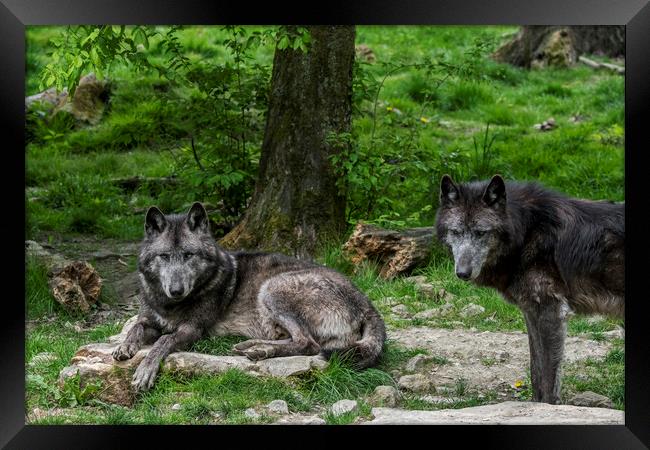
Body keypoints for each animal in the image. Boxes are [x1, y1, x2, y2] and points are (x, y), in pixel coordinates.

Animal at [112, 202, 384, 392]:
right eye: (165, 256)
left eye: (189, 255)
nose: (176, 290)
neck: (168, 303)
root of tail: (368, 304)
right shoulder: (149, 319)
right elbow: (136, 326)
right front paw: (124, 346)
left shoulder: (191, 329)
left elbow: (163, 341)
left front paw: (145, 370)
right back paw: (252, 346)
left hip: (272, 288)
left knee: (309, 344)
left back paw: (259, 351)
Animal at [432, 175, 620, 404]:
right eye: (456, 232)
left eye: (481, 233)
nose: (462, 273)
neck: (527, 231)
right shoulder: (531, 313)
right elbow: (535, 371)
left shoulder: (551, 312)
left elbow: (548, 378)